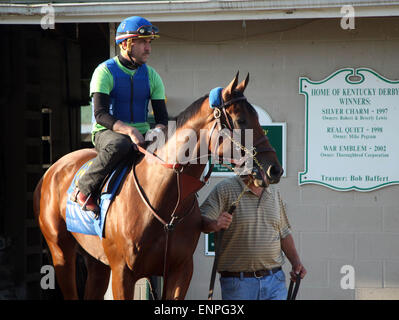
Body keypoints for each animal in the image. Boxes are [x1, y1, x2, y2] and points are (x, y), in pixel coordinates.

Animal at [34, 73, 284, 300]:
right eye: (241, 121)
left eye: (257, 119)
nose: (274, 169)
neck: (165, 202)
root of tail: (52, 170)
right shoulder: (123, 273)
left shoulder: (180, 271)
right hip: (61, 253)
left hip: (97, 262)